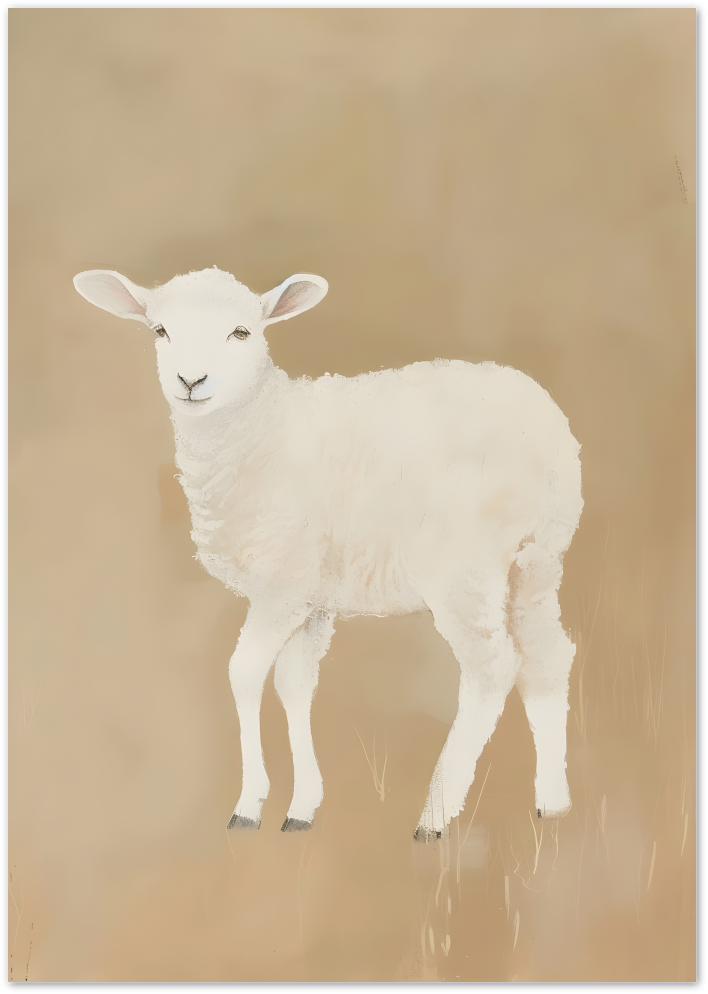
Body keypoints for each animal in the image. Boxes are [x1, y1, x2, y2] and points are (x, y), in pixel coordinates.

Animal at [73, 266, 583, 839]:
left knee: (492, 667)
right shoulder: (311, 597)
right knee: (548, 657)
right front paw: (301, 807)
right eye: (159, 330)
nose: (190, 381)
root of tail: (546, 430)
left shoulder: (281, 584)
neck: (261, 430)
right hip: (538, 560)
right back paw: (553, 803)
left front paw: (249, 804)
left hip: (464, 567)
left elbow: (244, 675)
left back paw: (435, 815)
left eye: (242, 332)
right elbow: (294, 685)